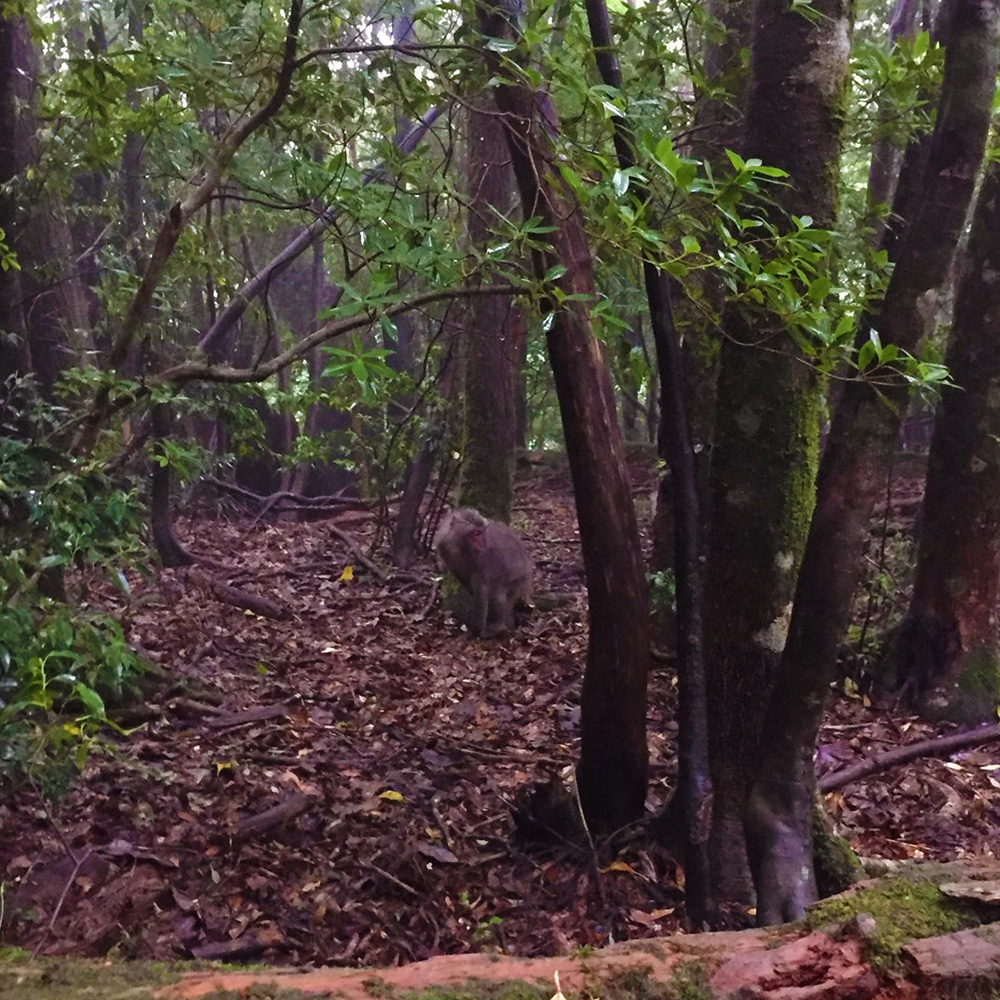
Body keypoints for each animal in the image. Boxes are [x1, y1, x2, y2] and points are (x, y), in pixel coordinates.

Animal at [434, 508, 536, 640]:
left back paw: (497, 627)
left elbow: (481, 589)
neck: (459, 546)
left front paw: (476, 630)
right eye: (476, 533)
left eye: (482, 532)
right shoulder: (445, 549)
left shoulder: (483, 559)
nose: (482, 543)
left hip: (519, 580)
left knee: (497, 595)